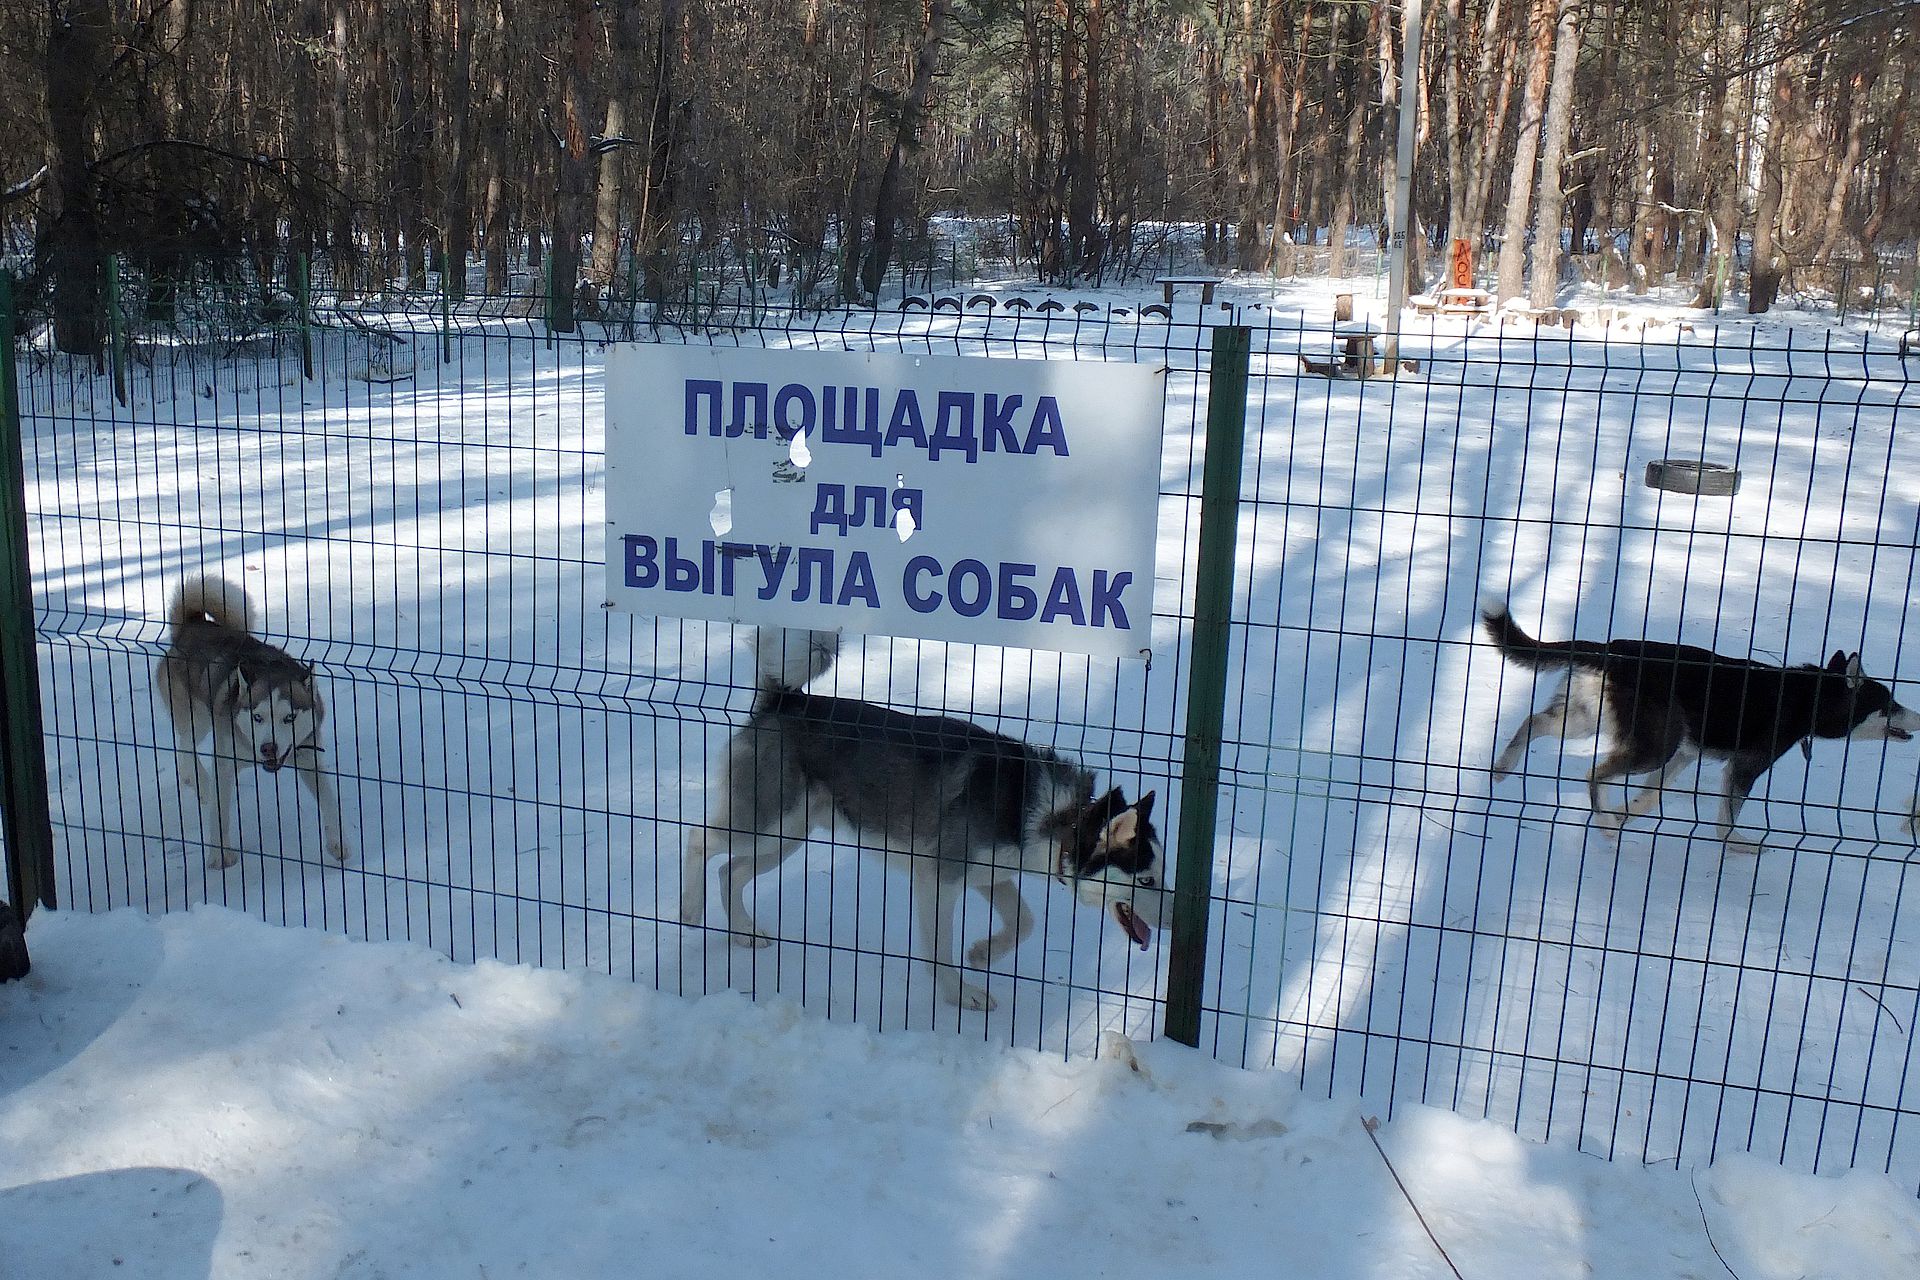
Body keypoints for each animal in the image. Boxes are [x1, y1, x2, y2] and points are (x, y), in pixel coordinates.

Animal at [154, 579, 353, 871]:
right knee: (185, 746)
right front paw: (219, 855)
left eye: (289, 718)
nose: (268, 748)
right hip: (197, 717)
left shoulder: (308, 755)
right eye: (257, 717)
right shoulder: (225, 762)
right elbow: (220, 812)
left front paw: (338, 842)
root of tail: (192, 624)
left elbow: (329, 800)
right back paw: (201, 783)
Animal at [683, 629, 1175, 1013]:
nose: (1174, 922)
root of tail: (784, 701)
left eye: (1163, 875)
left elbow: (1025, 921)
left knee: (730, 872)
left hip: (783, 839)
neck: (1055, 815)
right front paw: (962, 996)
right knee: (698, 840)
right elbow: (940, 950)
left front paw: (983, 952)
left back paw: (744, 933)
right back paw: (689, 910)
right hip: (764, 824)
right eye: (1147, 881)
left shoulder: (989, 876)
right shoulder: (939, 880)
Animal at [1489, 610, 1912, 852]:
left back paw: (1503, 768)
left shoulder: (1686, 754)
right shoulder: (1743, 767)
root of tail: (1613, 648)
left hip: (1586, 720)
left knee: (1533, 722)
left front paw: (1625, 813)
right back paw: (1605, 826)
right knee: (1594, 772)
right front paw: (1738, 845)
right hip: (1652, 745)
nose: (1917, 718)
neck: (1808, 696)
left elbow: (1649, 798)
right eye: (1890, 704)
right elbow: (1727, 820)